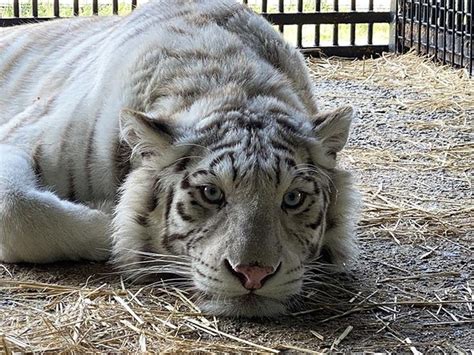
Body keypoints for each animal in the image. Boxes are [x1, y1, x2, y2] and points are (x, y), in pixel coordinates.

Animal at [0, 0, 360, 318]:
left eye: (293, 198)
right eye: (211, 193)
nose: (253, 274)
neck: (232, 83)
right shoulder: (23, 136)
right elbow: (18, 209)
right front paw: (110, 216)